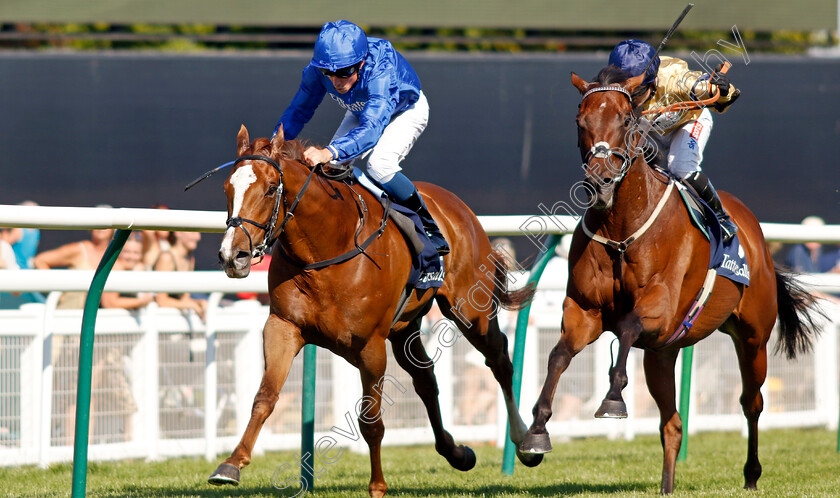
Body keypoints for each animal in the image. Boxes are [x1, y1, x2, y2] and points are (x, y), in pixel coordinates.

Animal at [209, 123, 540, 494]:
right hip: (405, 327)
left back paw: (526, 443)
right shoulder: (283, 326)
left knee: (499, 361)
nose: (232, 255)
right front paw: (231, 464)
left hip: (470, 310)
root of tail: (459, 207)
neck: (326, 247)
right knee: (425, 377)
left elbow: (371, 422)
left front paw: (377, 486)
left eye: (269, 190)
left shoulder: (370, 346)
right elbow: (265, 397)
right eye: (227, 188)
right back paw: (456, 452)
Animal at [520, 67, 820, 494]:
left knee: (752, 402)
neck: (621, 228)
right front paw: (536, 433)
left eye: (625, 120)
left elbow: (627, 326)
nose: (600, 183)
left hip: (753, 336)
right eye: (580, 121)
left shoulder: (660, 309)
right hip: (663, 354)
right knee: (672, 423)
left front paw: (613, 400)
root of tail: (756, 234)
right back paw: (667, 485)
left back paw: (751, 473)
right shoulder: (585, 311)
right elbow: (559, 355)